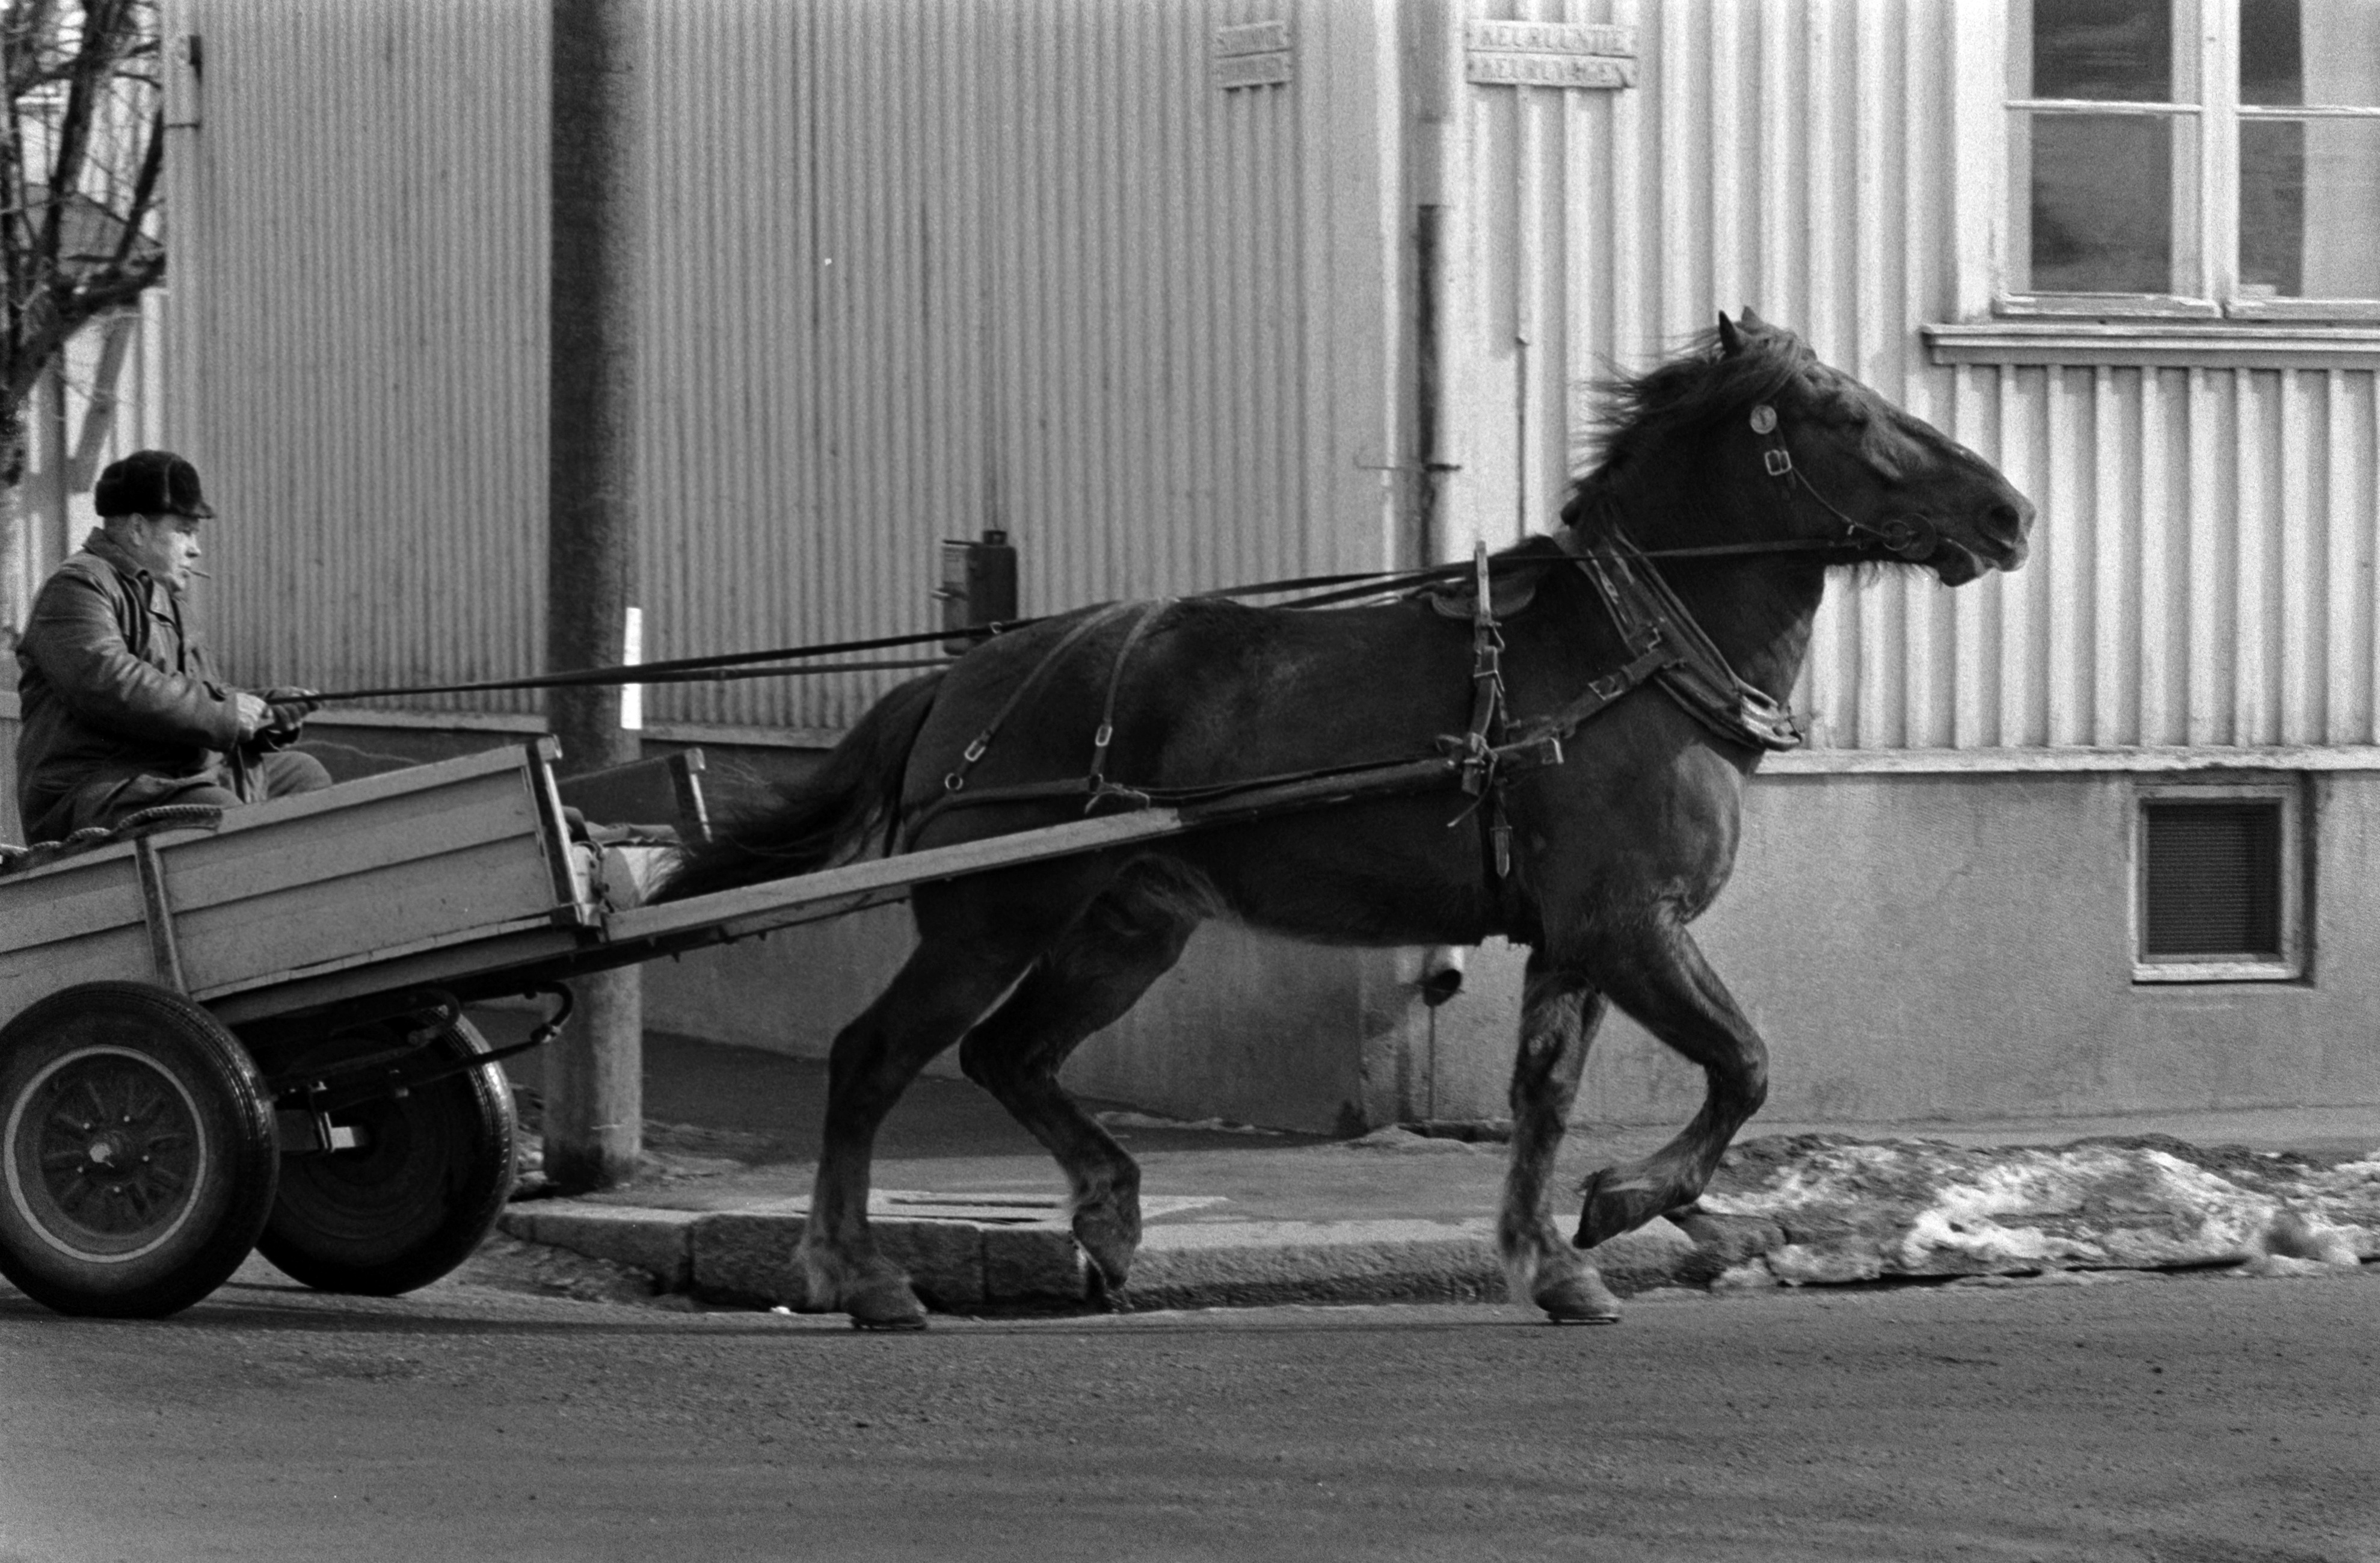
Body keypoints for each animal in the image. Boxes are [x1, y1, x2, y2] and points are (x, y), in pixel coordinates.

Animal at [652, 307, 2028, 1332]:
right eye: (1845, 415)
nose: (2008, 513)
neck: (1621, 656)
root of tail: (963, 674)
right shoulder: (1628, 923)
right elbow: (1742, 1063)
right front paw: (1626, 1202)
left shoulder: (1574, 939)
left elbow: (1545, 1096)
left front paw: (1551, 1259)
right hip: (991, 919)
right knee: (874, 1057)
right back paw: (860, 1273)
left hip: (1126, 927)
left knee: (1009, 1055)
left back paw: (1106, 1212)